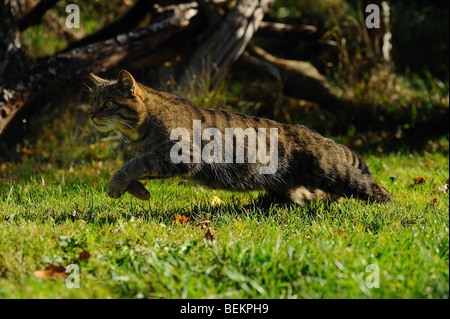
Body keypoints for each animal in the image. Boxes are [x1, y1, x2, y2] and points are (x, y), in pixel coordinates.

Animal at [89, 70, 394, 205]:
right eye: (93, 102)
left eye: (108, 104)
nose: (91, 114)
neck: (141, 131)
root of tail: (319, 136)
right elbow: (136, 168)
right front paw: (138, 191)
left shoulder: (180, 156)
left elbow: (133, 165)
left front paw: (117, 184)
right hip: (294, 187)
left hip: (333, 173)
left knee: (375, 189)